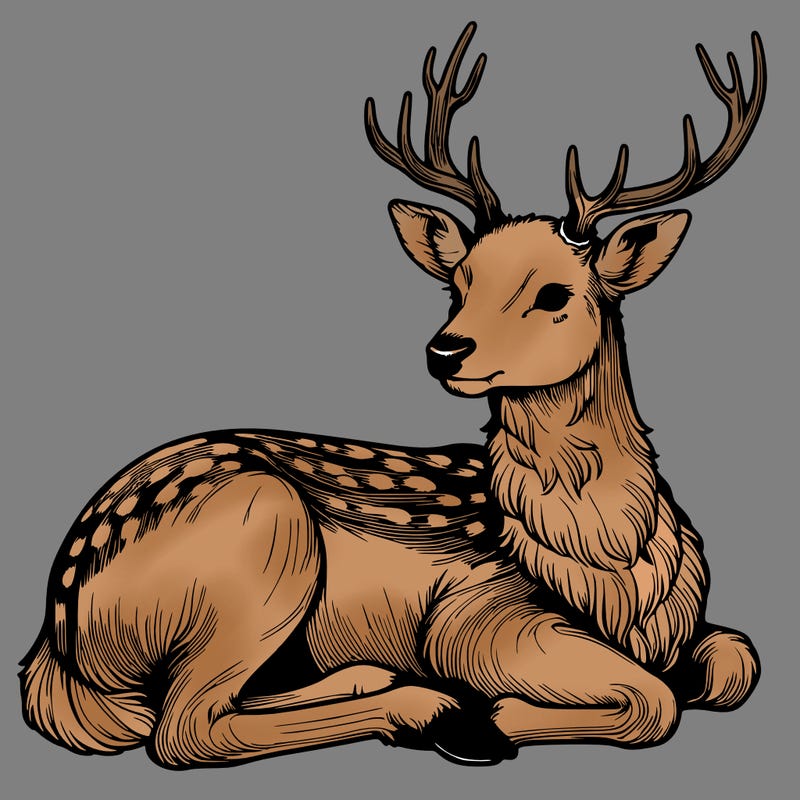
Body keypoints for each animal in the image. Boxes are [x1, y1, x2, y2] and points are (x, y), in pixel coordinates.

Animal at [20, 23, 765, 768]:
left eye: (555, 293)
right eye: (459, 282)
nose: (446, 349)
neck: (613, 569)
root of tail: (55, 638)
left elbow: (737, 660)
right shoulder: (477, 614)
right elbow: (655, 700)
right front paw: (493, 715)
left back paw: (375, 678)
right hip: (263, 547)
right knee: (183, 728)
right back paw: (434, 711)